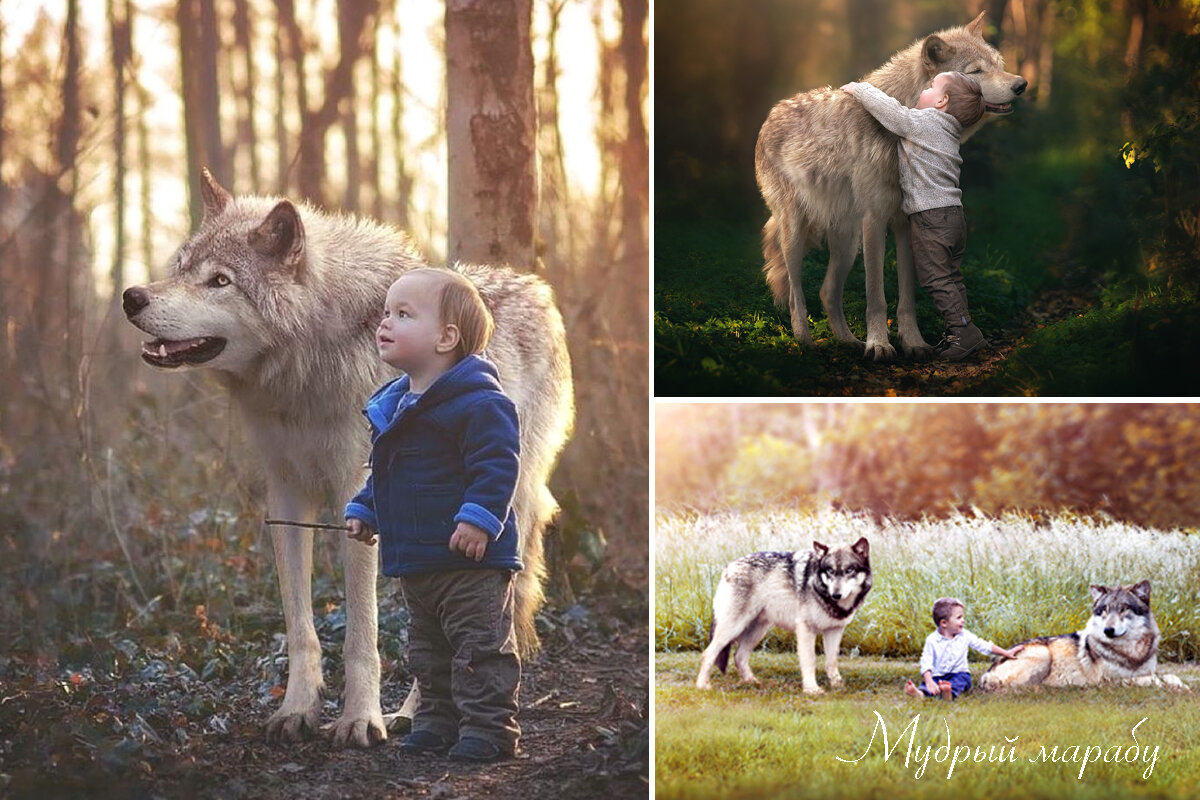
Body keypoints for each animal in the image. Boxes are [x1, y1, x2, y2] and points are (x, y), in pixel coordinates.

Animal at [124, 170, 573, 753]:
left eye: (220, 281)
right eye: (179, 267)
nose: (132, 296)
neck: (306, 374)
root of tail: (535, 287)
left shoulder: (354, 496)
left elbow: (362, 631)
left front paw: (360, 719)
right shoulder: (286, 497)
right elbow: (300, 625)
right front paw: (298, 709)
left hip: (496, 503)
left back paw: (413, 710)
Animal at [696, 537, 873, 695]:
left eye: (849, 570)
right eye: (830, 571)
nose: (836, 595)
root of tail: (729, 566)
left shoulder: (835, 630)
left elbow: (831, 661)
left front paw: (837, 685)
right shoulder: (806, 630)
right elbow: (810, 661)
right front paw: (811, 689)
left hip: (758, 631)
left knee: (739, 656)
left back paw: (752, 682)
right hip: (734, 627)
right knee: (708, 653)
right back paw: (703, 685)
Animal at [753, 12, 1027, 362]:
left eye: (997, 64)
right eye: (977, 71)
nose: (1021, 85)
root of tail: (771, 114)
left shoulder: (905, 223)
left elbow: (907, 296)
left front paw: (913, 342)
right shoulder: (875, 220)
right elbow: (876, 296)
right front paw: (879, 345)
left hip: (846, 242)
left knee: (827, 291)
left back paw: (849, 342)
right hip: (796, 233)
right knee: (795, 292)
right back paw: (805, 343)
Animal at [979, 585, 1185, 690]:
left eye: (1123, 609)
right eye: (1104, 610)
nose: (1108, 630)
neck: (1132, 653)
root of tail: (988, 670)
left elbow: (1170, 676)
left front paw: (1180, 685)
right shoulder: (1111, 680)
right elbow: (1152, 680)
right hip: (1043, 656)